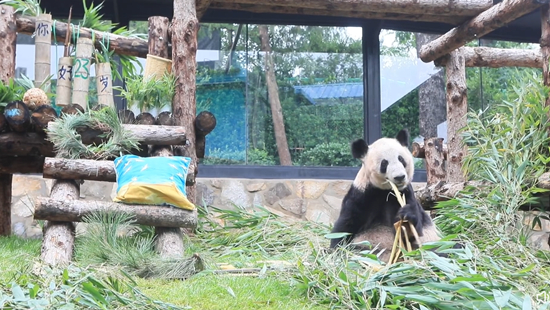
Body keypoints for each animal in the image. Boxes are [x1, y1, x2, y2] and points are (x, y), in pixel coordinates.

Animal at [330, 130, 442, 262]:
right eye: (384, 163)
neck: (385, 191)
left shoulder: (406, 195)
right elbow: (346, 225)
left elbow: (414, 232)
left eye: (401, 159)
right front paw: (335, 251)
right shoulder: (362, 195)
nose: (399, 177)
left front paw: (406, 218)